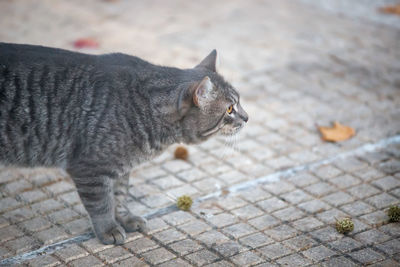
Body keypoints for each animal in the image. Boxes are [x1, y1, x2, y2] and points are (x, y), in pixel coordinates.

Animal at [0, 43, 248, 246]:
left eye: (239, 103)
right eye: (229, 109)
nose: (247, 117)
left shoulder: (119, 168)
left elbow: (119, 197)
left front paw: (124, 218)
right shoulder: (89, 169)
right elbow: (101, 204)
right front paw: (108, 229)